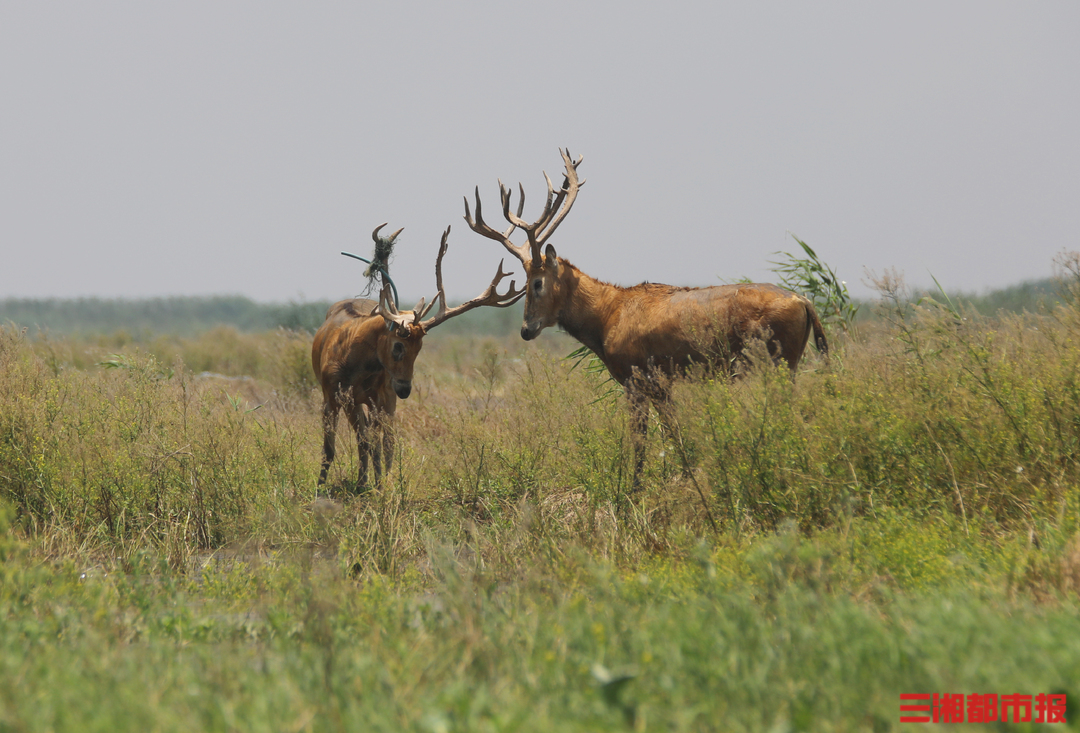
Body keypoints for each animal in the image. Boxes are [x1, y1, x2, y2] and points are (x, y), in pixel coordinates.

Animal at [313, 221, 522, 490]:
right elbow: (332, 448)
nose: (405, 389)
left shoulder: (376, 395)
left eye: (420, 348)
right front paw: (321, 488)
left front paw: (378, 486)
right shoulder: (331, 392)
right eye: (398, 346)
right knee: (366, 438)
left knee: (383, 441)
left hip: (381, 397)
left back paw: (378, 480)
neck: (350, 360)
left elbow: (376, 444)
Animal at [462, 148, 825, 490]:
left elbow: (643, 440)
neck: (607, 318)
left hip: (779, 360)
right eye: (523, 283)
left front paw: (634, 491)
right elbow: (673, 434)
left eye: (536, 283)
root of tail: (805, 302)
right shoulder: (660, 384)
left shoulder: (638, 378)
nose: (526, 329)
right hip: (787, 362)